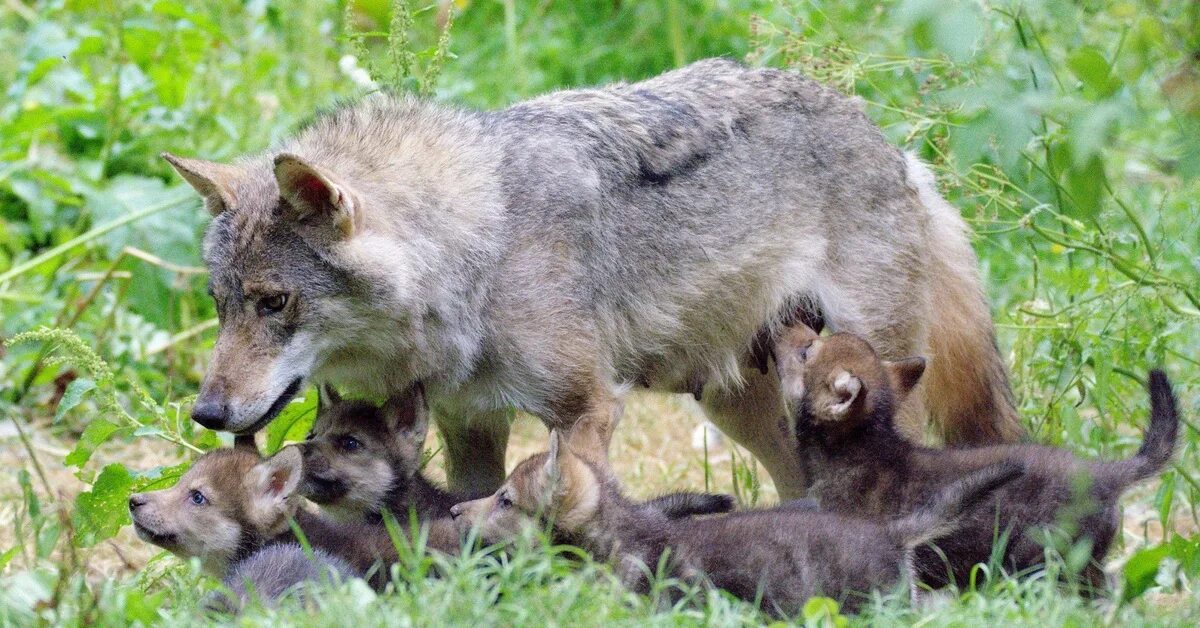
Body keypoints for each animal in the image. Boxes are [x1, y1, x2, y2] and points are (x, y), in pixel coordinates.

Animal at [159, 58, 1022, 501]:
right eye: (221, 305)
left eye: (276, 303)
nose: (206, 413)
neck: (481, 246)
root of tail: (894, 146)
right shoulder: (470, 422)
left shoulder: (585, 410)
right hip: (747, 408)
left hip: (858, 385)